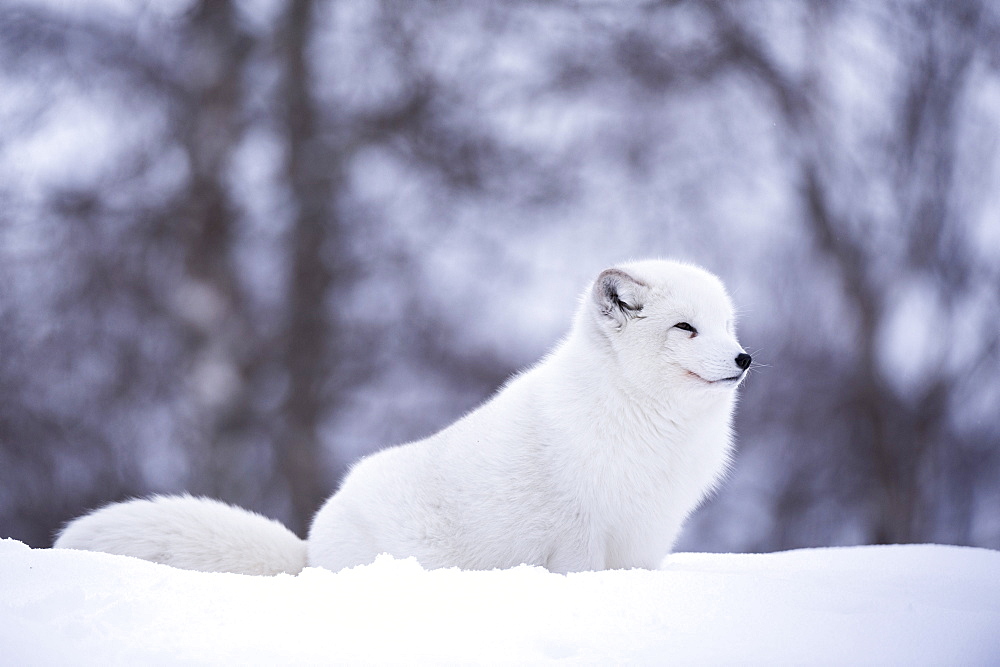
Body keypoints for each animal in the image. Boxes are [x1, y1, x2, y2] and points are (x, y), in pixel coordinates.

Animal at [54, 258, 752, 576]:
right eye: (684, 329)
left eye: (724, 326)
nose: (745, 358)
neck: (645, 417)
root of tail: (309, 550)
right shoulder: (580, 533)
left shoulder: (648, 534)